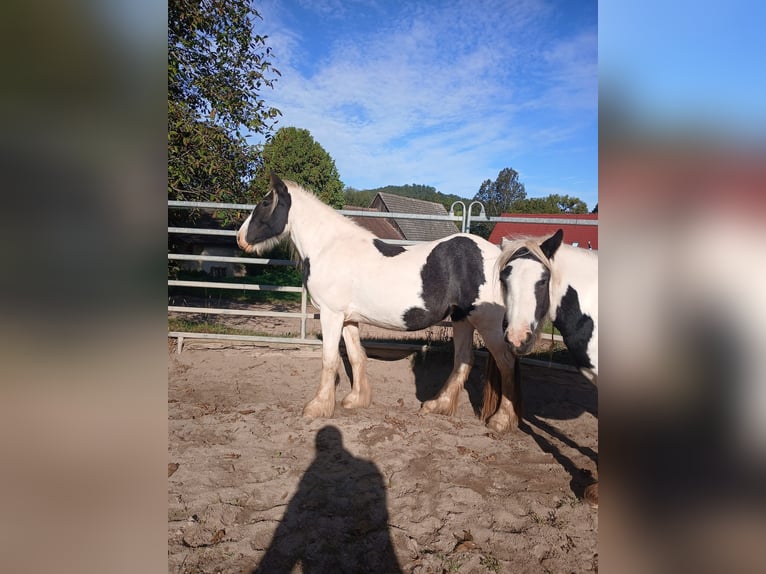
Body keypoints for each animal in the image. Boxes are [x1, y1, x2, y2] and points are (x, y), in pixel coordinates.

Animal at [234, 171, 520, 432]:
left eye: (265, 203)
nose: (240, 239)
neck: (329, 247)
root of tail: (499, 256)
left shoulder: (331, 314)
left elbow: (329, 359)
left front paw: (317, 407)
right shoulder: (347, 319)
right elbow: (355, 356)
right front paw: (355, 400)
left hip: (487, 323)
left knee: (507, 363)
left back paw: (501, 420)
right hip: (462, 318)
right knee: (463, 360)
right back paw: (436, 405)